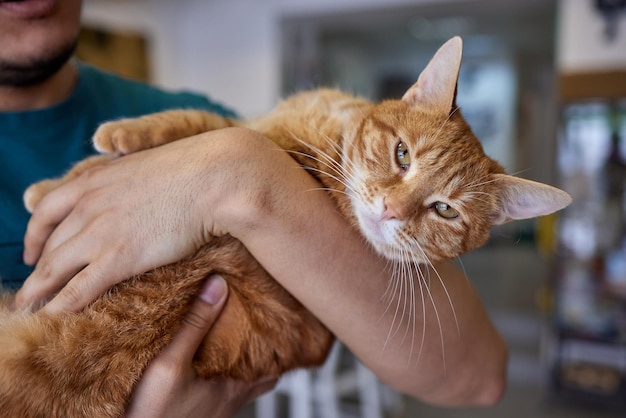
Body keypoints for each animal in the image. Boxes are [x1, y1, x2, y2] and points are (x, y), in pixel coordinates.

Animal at [0, 37, 568, 416]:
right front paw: (73, 172)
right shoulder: (262, 123)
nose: (390, 208)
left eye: (445, 210)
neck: (333, 126)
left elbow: (202, 128)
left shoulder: (257, 140)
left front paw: (55, 183)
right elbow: (193, 122)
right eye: (402, 154)